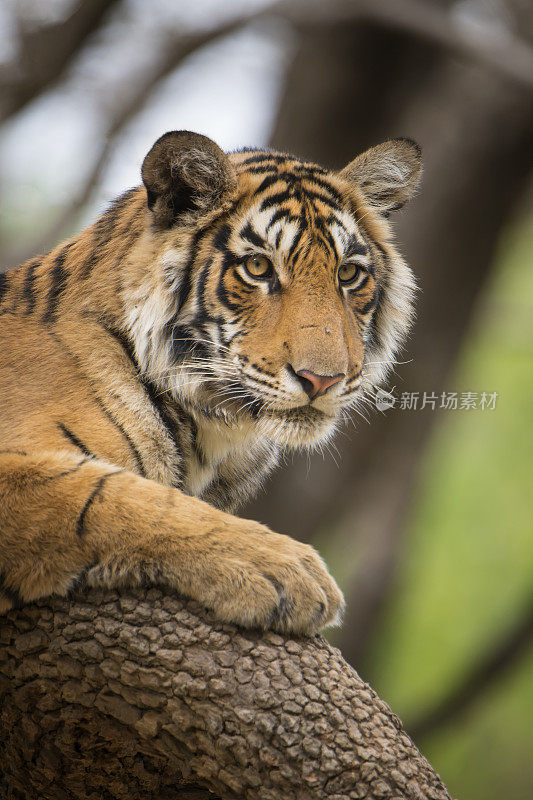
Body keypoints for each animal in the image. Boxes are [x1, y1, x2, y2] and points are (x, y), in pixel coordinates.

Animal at [0, 128, 420, 636]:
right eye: (258, 268)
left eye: (349, 274)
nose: (322, 380)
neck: (212, 432)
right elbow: (116, 498)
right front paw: (287, 569)